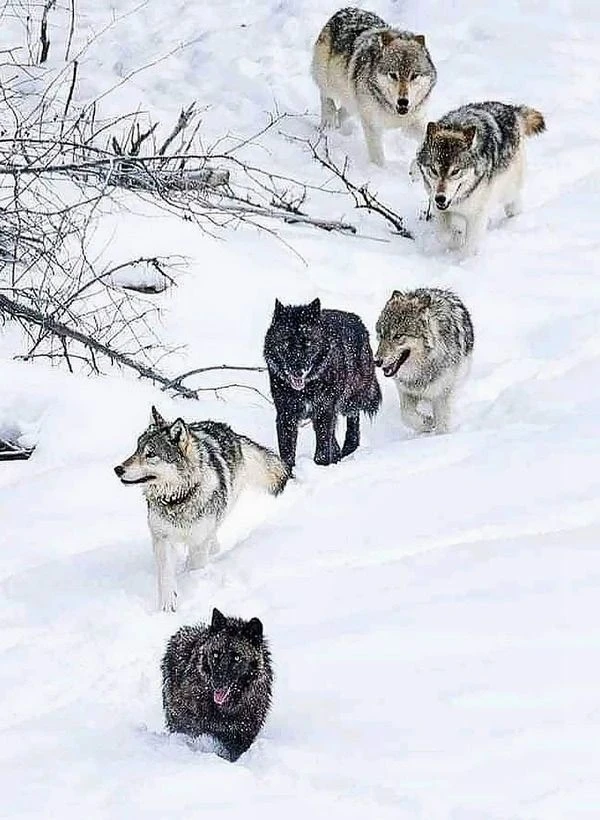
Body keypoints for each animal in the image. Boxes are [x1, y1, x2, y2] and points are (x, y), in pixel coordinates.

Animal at [114, 407, 289, 612]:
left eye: (151, 454)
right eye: (137, 449)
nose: (118, 469)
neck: (179, 498)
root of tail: (226, 428)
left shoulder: (198, 540)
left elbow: (195, 566)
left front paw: (191, 586)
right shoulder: (162, 538)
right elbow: (166, 574)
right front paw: (167, 605)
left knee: (212, 535)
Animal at [264, 298, 381, 468]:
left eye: (308, 343)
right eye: (286, 343)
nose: (297, 371)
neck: (305, 389)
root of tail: (356, 319)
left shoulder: (324, 410)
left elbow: (323, 450)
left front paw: (322, 466)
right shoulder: (286, 414)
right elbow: (287, 452)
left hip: (350, 399)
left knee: (353, 420)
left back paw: (348, 447)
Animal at [311, 7, 437, 165]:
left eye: (414, 76)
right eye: (393, 75)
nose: (403, 101)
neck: (392, 112)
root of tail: (345, 10)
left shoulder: (413, 122)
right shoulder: (372, 126)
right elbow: (378, 157)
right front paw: (380, 170)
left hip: (353, 101)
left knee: (344, 111)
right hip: (327, 81)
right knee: (326, 98)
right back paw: (328, 123)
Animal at [374, 288, 474, 434]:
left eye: (398, 336)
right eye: (381, 335)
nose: (377, 361)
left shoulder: (442, 392)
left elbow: (442, 424)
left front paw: (438, 433)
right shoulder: (405, 390)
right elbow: (406, 415)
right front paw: (427, 423)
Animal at [414, 101, 546, 254]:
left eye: (455, 171)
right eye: (434, 170)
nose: (440, 198)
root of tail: (511, 109)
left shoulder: (476, 215)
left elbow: (469, 246)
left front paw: (465, 258)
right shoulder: (439, 207)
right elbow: (445, 234)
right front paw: (455, 239)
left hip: (509, 191)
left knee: (514, 204)